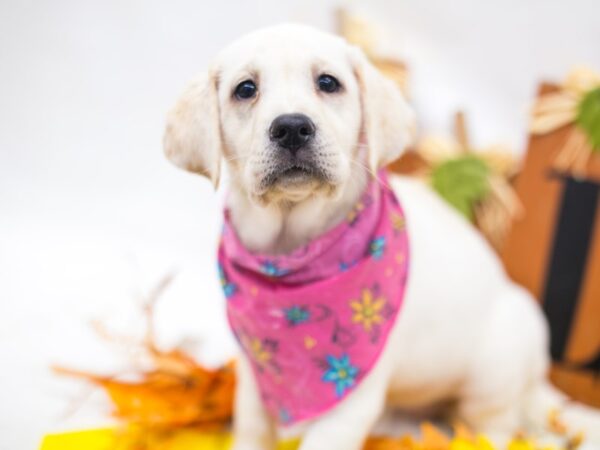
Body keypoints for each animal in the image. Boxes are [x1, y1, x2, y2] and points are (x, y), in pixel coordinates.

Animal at [164, 23, 600, 450]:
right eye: (245, 89)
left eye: (328, 82)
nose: (291, 128)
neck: (291, 249)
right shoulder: (255, 372)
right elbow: (252, 431)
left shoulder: (350, 403)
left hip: (494, 368)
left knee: (497, 427)